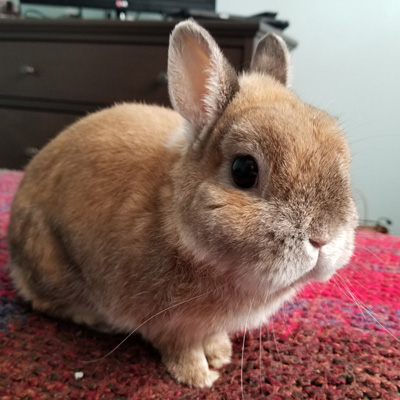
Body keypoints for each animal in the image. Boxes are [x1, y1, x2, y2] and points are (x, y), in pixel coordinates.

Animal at [6, 19, 358, 388]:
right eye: (243, 170)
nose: (323, 238)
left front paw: (221, 354)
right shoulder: (167, 325)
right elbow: (182, 349)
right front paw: (199, 377)